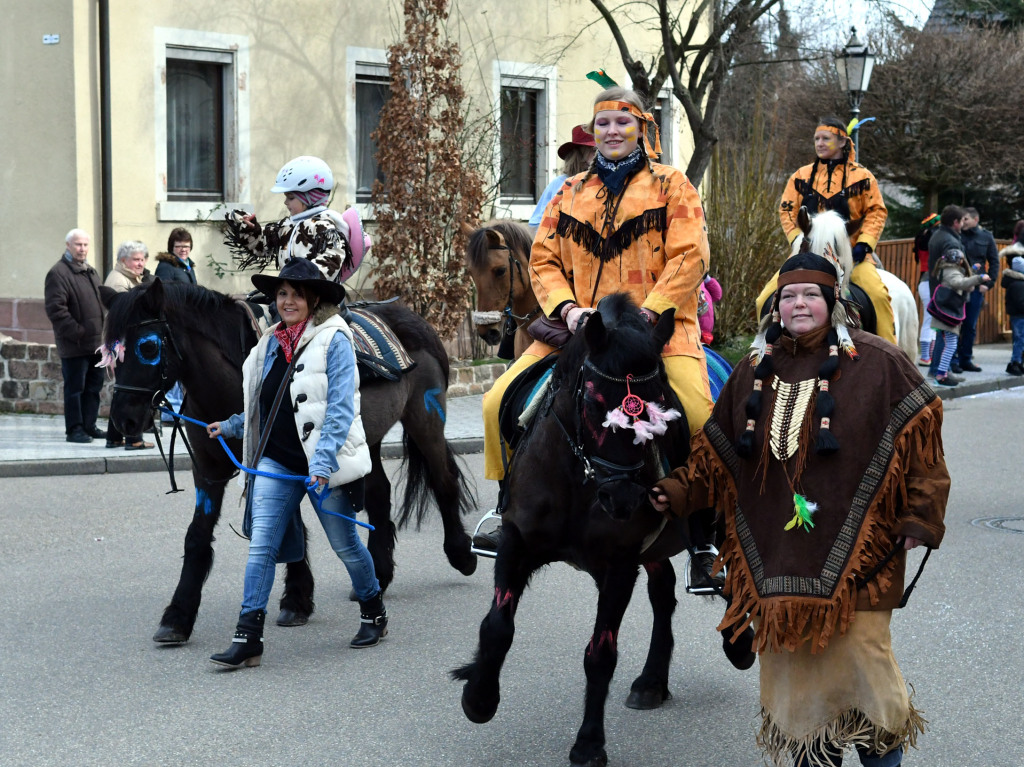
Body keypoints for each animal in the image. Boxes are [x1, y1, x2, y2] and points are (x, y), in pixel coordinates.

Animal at [99, 278, 475, 643]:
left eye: (148, 347)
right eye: (108, 354)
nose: (123, 420)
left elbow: (282, 528)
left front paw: (296, 599)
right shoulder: (209, 470)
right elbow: (198, 537)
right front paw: (178, 616)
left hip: (425, 419)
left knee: (443, 479)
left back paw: (461, 553)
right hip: (368, 438)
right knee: (380, 494)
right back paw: (378, 575)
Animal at [452, 294, 757, 765]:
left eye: (662, 404)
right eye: (596, 405)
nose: (624, 499)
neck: (580, 478)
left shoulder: (618, 565)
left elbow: (601, 653)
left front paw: (590, 743)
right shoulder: (518, 543)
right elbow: (497, 625)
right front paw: (479, 697)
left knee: (732, 578)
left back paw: (736, 640)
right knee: (663, 594)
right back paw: (652, 682)